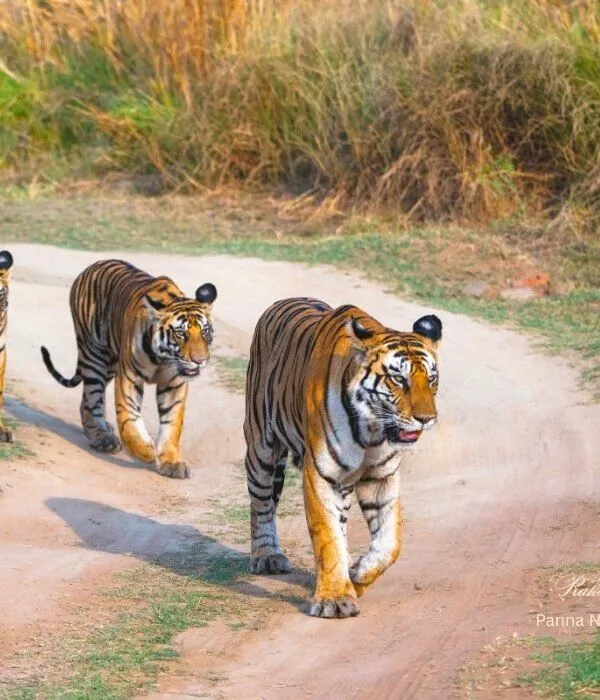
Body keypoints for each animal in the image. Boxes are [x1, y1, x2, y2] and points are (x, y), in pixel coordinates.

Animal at [41, 259, 217, 479]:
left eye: (205, 332)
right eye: (180, 334)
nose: (200, 360)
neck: (162, 359)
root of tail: (92, 266)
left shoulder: (174, 384)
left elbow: (172, 423)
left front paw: (171, 462)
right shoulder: (129, 378)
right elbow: (128, 419)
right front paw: (146, 451)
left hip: (110, 363)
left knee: (86, 401)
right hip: (94, 356)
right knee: (92, 398)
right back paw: (102, 438)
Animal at [244, 298, 442, 618]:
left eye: (432, 379)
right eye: (398, 379)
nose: (426, 419)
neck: (372, 430)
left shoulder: (382, 477)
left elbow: (390, 542)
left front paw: (358, 574)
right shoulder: (321, 475)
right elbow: (328, 535)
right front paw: (334, 600)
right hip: (261, 446)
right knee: (260, 504)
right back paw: (267, 556)